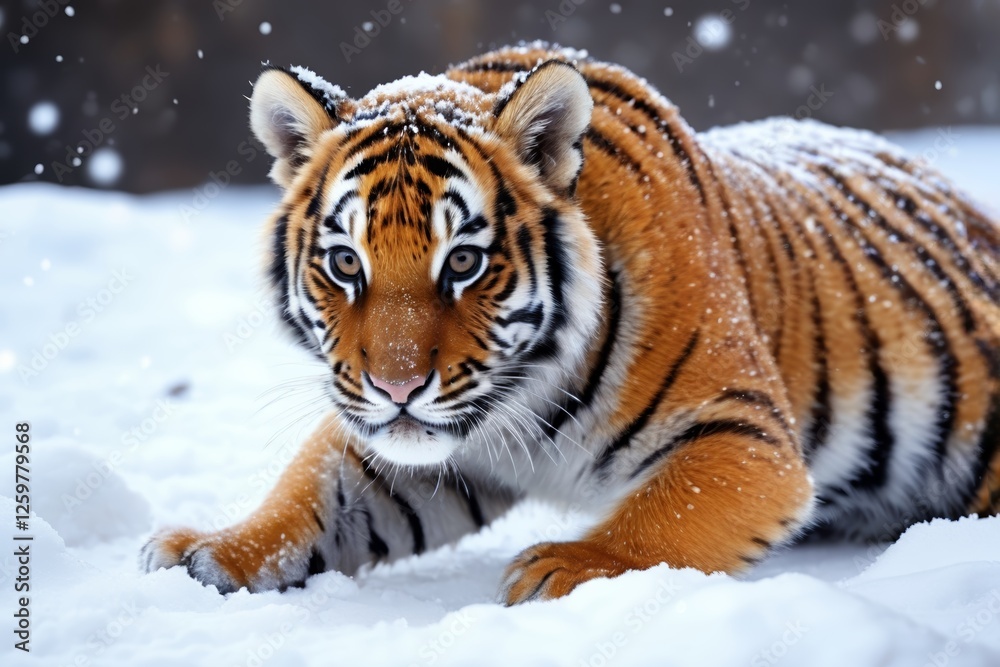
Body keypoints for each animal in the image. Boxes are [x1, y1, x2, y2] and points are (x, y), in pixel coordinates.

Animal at [141, 42, 1000, 605]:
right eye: (347, 263)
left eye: (463, 261)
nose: (397, 387)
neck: (522, 393)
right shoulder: (413, 447)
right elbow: (311, 495)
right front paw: (209, 551)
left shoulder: (742, 432)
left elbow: (665, 513)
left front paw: (566, 567)